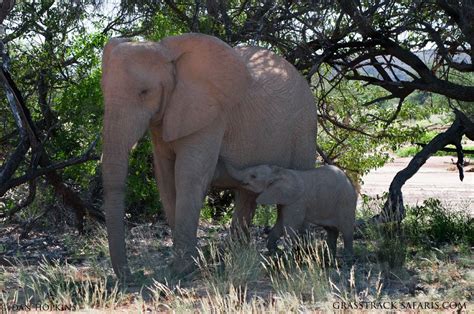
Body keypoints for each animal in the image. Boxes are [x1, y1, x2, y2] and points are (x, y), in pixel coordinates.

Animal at [102, 33, 316, 278]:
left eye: (145, 92)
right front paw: (181, 266)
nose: (130, 276)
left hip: (304, 127)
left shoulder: (210, 116)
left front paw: (181, 270)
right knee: (247, 194)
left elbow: (188, 175)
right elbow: (165, 179)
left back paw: (300, 255)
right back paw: (235, 255)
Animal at [226, 163, 356, 256]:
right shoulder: (283, 199)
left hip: (346, 202)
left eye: (253, 176)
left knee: (346, 230)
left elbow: (290, 225)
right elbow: (280, 224)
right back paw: (329, 255)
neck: (280, 172)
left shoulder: (296, 201)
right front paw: (275, 251)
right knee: (332, 230)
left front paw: (287, 255)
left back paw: (347, 256)